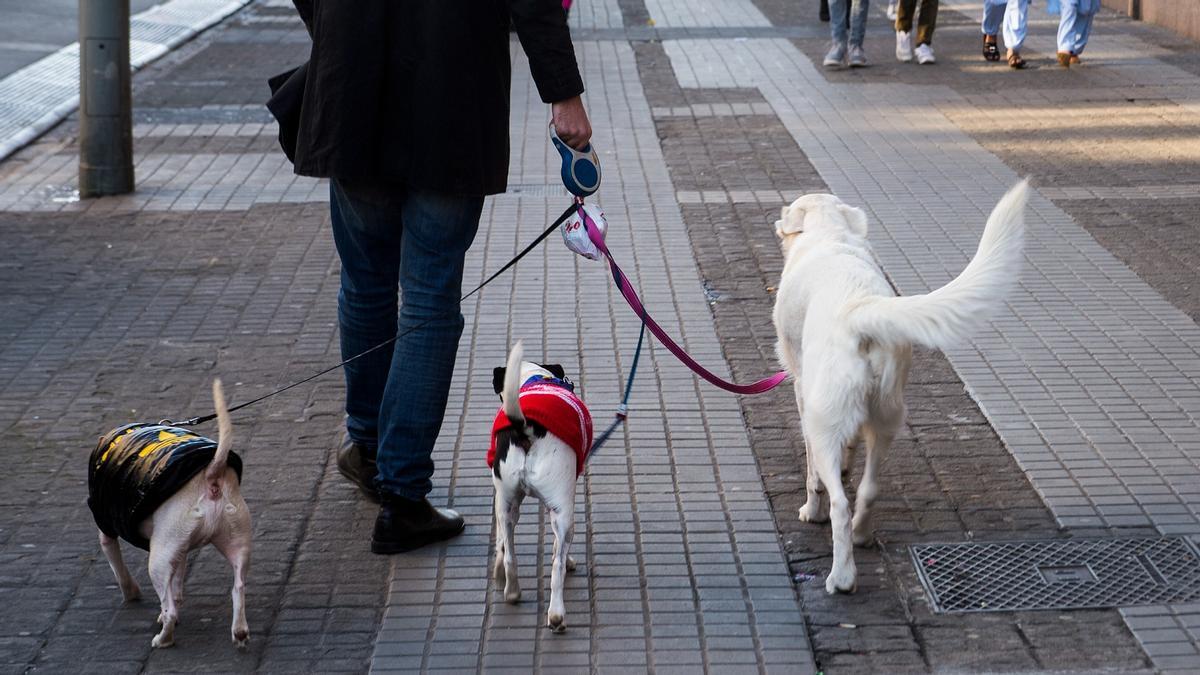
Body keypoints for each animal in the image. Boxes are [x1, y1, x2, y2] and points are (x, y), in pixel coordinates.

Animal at [87, 379, 252, 648]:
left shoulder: (106, 525)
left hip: (158, 560)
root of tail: (211, 477)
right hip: (236, 543)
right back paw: (238, 632)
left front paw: (131, 593)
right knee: (238, 588)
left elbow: (118, 567)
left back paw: (163, 639)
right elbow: (176, 589)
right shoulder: (179, 551)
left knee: (171, 609)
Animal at [484, 341, 592, 629]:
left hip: (506, 504)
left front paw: (498, 572)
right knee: (556, 567)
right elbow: (558, 550)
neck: (535, 378)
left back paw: (512, 591)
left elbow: (501, 544)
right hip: (564, 512)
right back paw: (556, 615)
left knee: (509, 551)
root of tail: (527, 428)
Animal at [772, 181, 1027, 590]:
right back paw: (862, 534)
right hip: (887, 418)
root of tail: (861, 310)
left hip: (823, 417)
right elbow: (850, 449)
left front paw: (811, 510)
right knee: (869, 490)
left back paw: (842, 576)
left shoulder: (801, 391)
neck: (830, 234)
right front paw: (846, 466)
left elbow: (813, 474)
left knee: (840, 503)